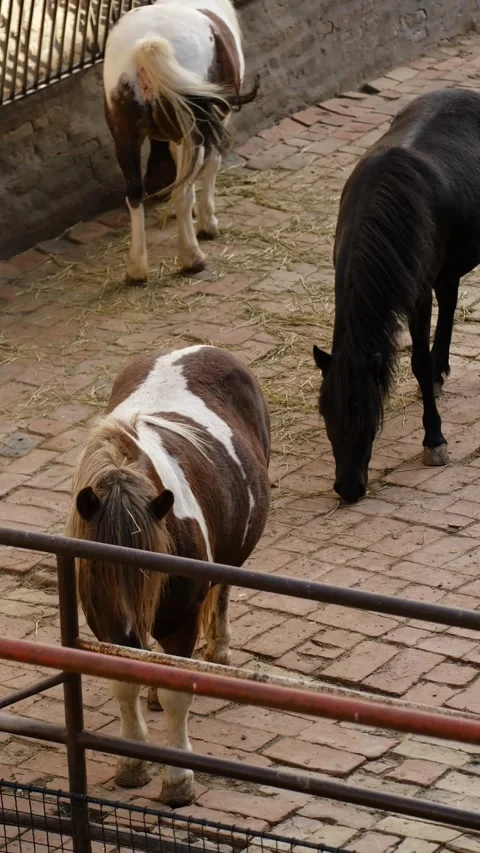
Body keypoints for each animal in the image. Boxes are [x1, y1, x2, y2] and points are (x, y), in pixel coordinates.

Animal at [66, 345, 270, 806]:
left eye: (154, 565)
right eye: (97, 566)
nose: (130, 634)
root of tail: (196, 348)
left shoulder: (179, 620)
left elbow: (179, 692)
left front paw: (177, 780)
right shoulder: (106, 625)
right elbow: (125, 685)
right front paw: (131, 764)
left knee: (222, 591)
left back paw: (217, 652)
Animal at [102, 0, 256, 283]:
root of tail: (147, 45)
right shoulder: (215, 123)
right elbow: (210, 167)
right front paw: (208, 224)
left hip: (124, 134)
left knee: (135, 194)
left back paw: (137, 270)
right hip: (194, 130)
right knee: (181, 190)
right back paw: (192, 258)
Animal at [313, 88, 480, 503]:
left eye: (370, 415)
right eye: (326, 413)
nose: (349, 488)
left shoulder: (417, 294)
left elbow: (418, 362)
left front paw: (434, 440)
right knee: (449, 300)